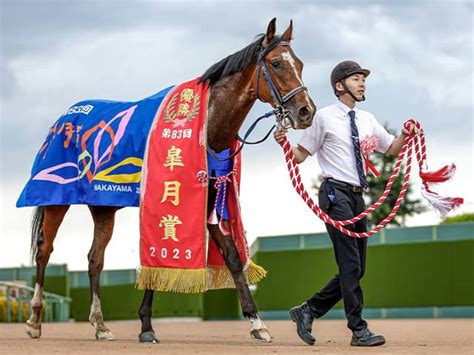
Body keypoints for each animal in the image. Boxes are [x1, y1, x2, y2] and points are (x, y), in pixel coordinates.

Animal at [24, 18, 316, 344]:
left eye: (300, 64)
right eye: (276, 63)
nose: (306, 111)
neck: (205, 127)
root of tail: (64, 118)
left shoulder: (207, 202)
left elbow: (231, 257)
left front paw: (257, 323)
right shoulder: (163, 196)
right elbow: (156, 255)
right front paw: (146, 326)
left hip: (103, 206)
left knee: (94, 259)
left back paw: (100, 325)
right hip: (56, 197)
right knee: (45, 250)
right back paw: (34, 320)